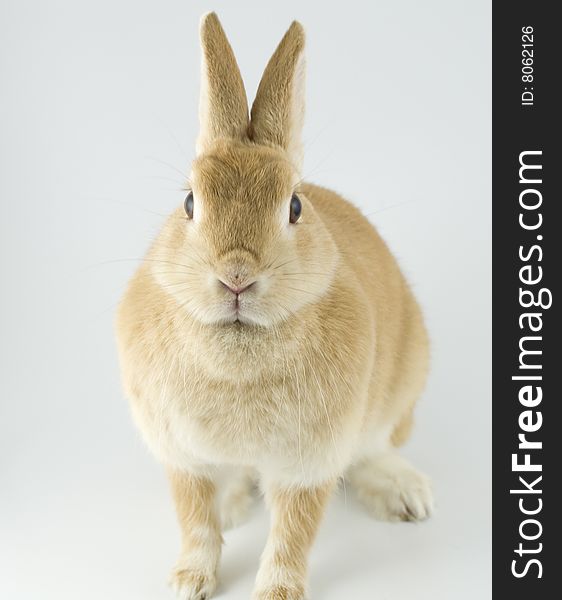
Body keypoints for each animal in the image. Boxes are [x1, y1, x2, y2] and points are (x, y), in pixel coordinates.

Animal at [114, 10, 428, 600]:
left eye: (296, 207)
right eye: (188, 202)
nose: (236, 276)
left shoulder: (309, 462)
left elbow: (292, 534)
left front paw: (276, 592)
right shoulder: (184, 456)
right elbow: (196, 521)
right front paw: (189, 582)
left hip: (397, 395)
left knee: (374, 450)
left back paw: (407, 496)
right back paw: (235, 505)